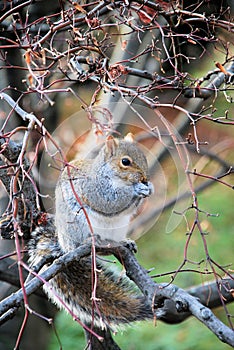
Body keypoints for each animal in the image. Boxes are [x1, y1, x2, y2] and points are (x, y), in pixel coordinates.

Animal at [29, 134, 155, 330]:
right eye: (125, 162)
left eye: (143, 156)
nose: (144, 178)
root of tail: (64, 247)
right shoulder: (94, 188)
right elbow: (109, 201)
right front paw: (137, 189)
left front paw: (149, 188)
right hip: (78, 224)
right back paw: (93, 241)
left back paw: (124, 242)